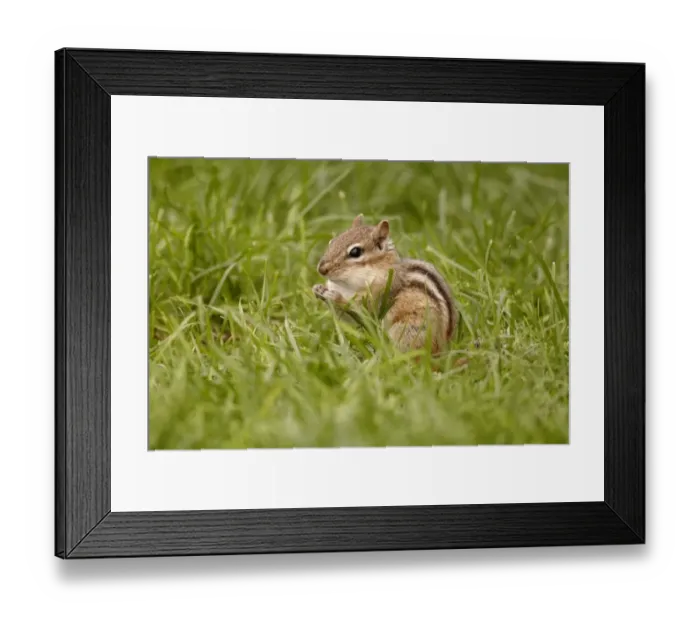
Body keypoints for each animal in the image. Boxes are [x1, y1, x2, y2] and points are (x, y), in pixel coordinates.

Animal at [312, 215, 457, 355]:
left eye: (355, 252)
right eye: (332, 242)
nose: (321, 269)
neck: (346, 286)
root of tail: (444, 349)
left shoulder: (378, 294)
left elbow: (361, 312)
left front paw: (334, 297)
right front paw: (317, 289)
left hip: (408, 330)